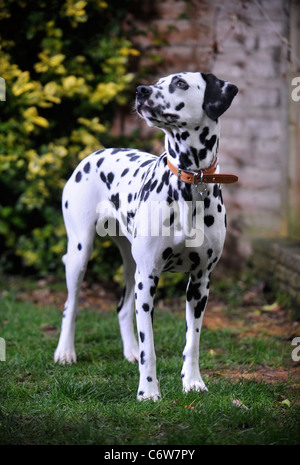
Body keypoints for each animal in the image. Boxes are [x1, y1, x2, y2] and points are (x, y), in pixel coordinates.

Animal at [53, 71, 237, 398]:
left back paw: (129, 350)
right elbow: (149, 347)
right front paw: (148, 392)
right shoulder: (150, 277)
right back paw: (65, 352)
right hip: (81, 254)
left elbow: (193, 341)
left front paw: (193, 382)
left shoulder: (200, 282)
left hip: (131, 266)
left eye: (180, 83)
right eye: (159, 81)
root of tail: (96, 153)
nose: (141, 90)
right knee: (70, 306)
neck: (190, 185)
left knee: (123, 307)